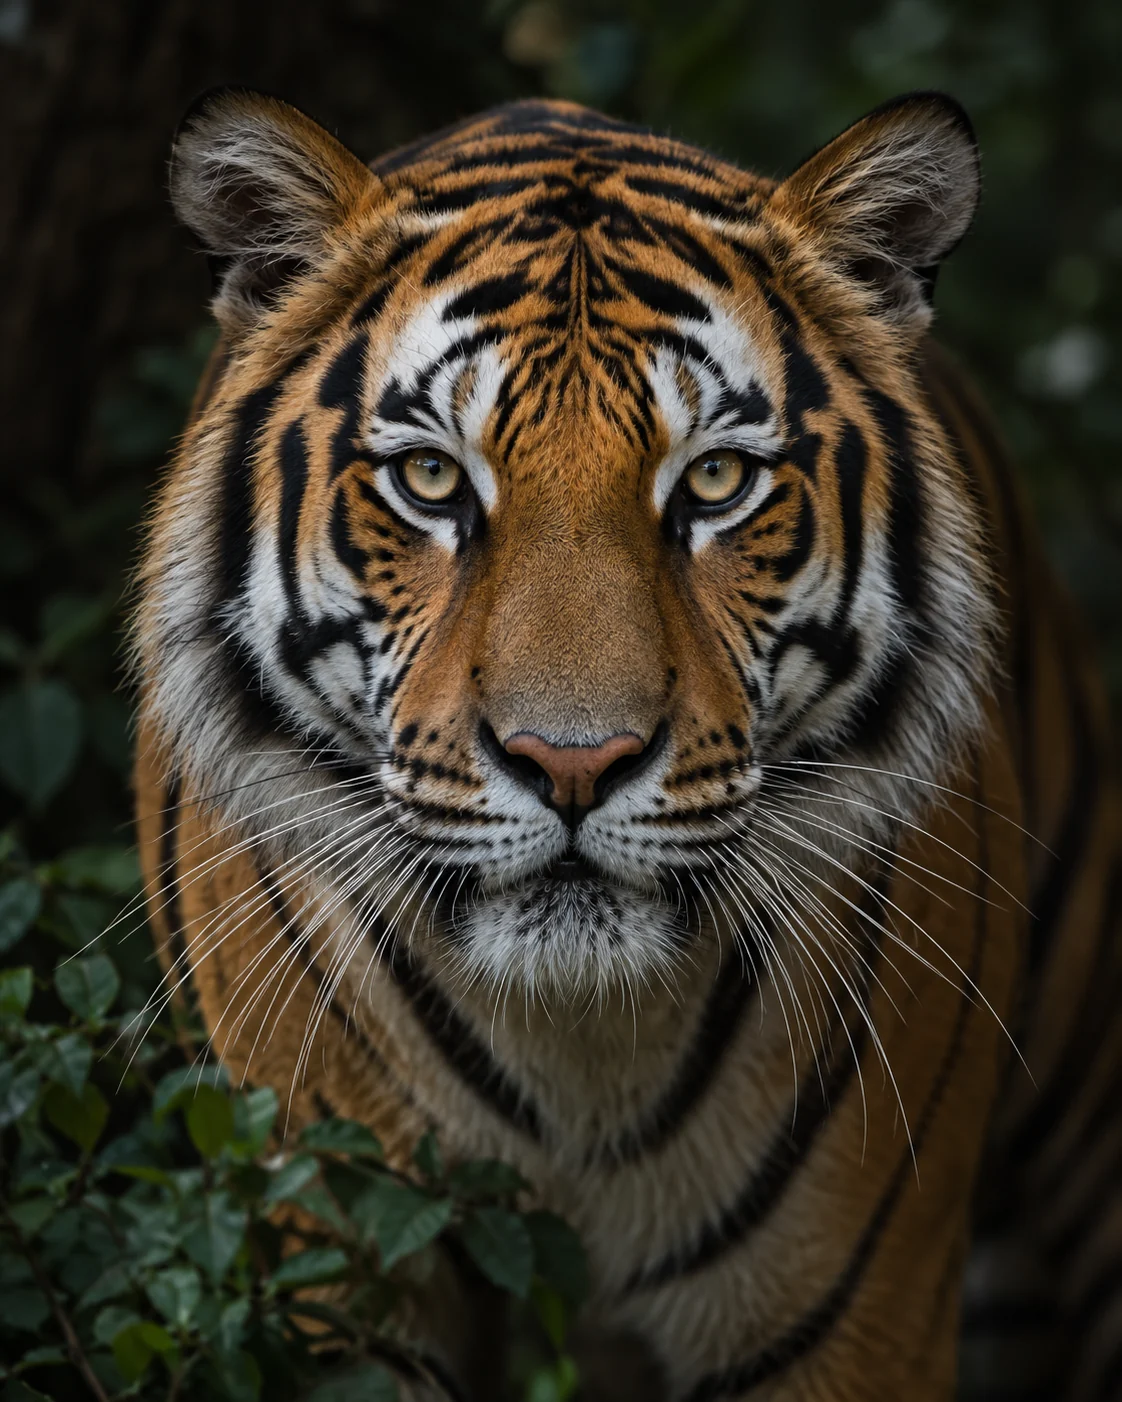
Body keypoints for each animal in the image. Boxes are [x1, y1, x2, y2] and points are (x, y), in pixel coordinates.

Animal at [132, 86, 1122, 1400]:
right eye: (432, 478)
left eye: (714, 482)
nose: (572, 763)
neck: (579, 1049)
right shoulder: (332, 1258)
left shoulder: (851, 1310)